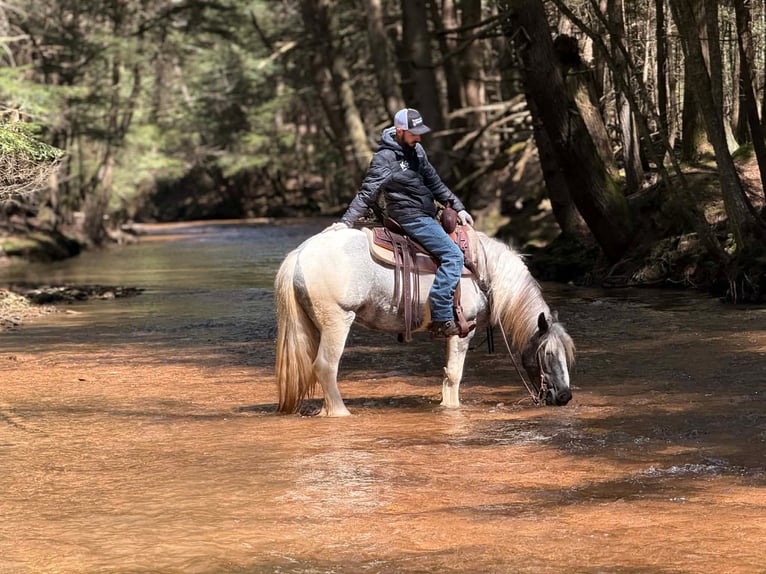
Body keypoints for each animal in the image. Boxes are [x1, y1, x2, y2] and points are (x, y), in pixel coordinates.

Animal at [274, 226, 574, 417]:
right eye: (547, 353)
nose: (565, 397)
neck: (483, 271)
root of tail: (300, 254)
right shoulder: (463, 330)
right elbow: (454, 375)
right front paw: (452, 409)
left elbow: (446, 375)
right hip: (337, 321)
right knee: (326, 366)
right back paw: (341, 412)